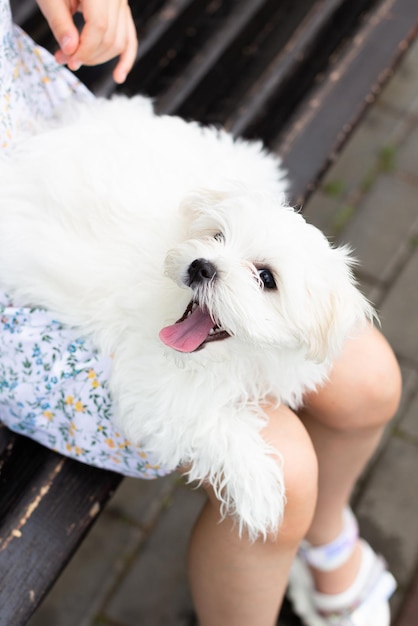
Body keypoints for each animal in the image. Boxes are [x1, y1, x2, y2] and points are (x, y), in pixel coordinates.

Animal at [0, 96, 374, 536]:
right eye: (217, 236)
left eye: (266, 278)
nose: (202, 266)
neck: (240, 357)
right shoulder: (153, 382)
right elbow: (205, 418)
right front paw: (259, 487)